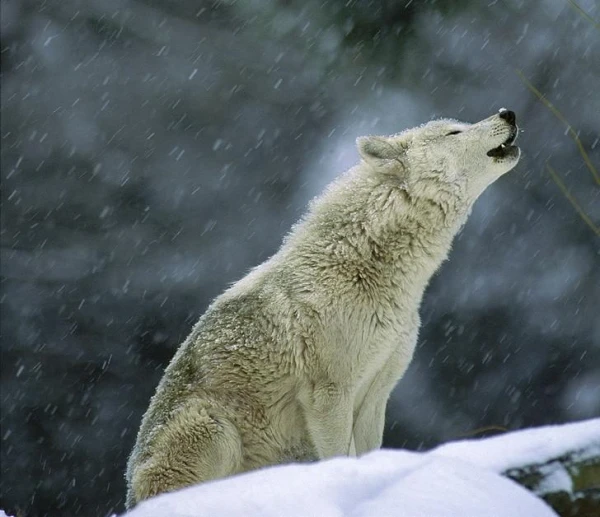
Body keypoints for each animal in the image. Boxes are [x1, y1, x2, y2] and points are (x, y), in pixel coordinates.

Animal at [126, 110, 520, 508]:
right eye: (454, 132)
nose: (508, 113)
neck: (366, 267)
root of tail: (130, 495)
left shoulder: (376, 395)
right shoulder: (329, 395)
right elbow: (340, 457)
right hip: (215, 428)